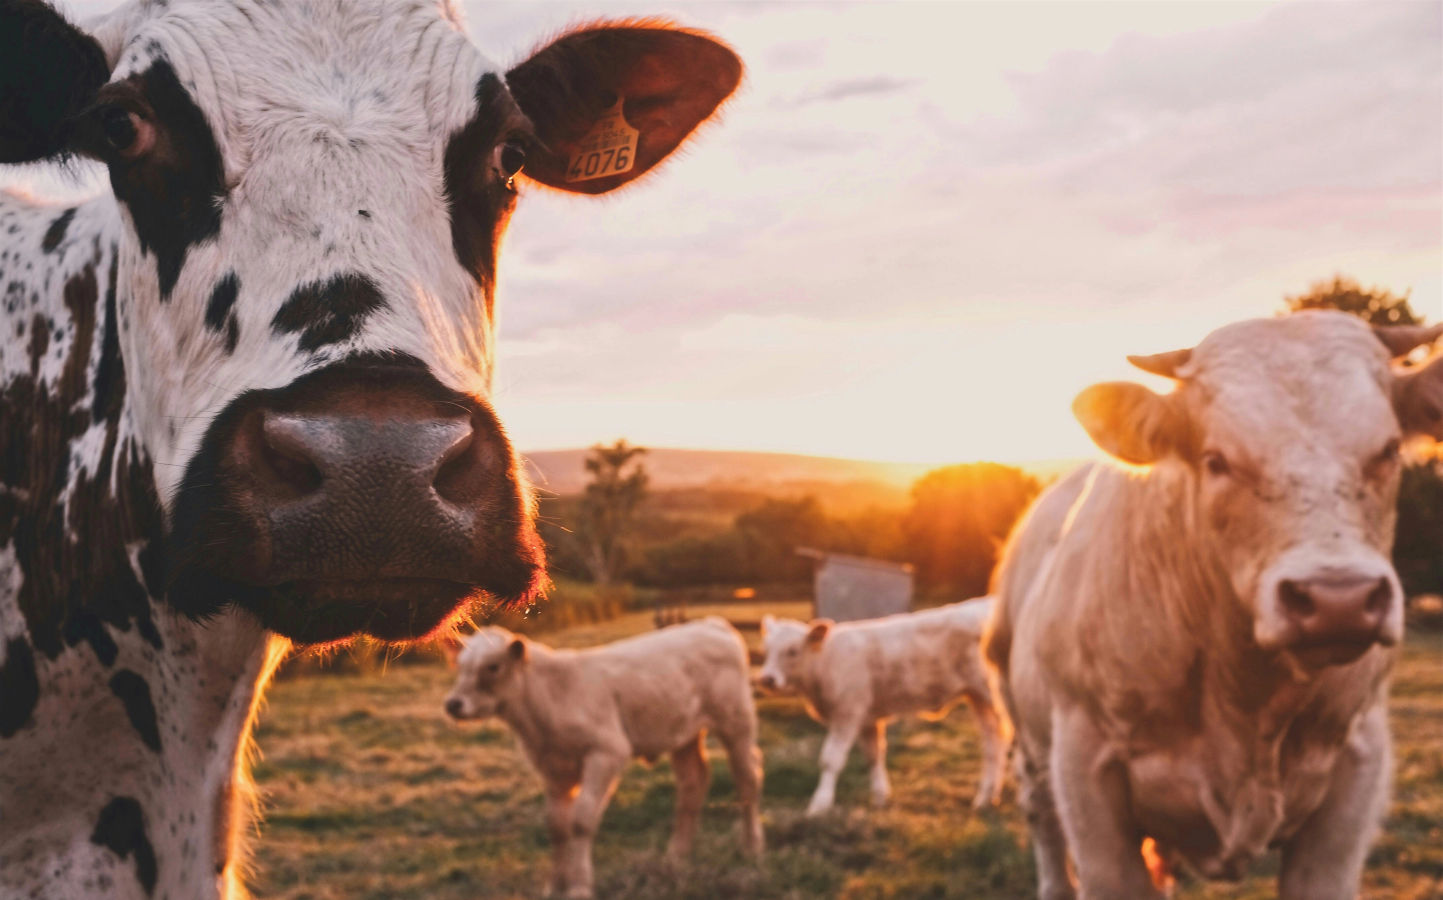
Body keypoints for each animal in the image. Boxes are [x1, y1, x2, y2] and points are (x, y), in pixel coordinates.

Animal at [443, 618, 765, 899]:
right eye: (460, 665)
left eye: (493, 666)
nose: (453, 704)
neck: (548, 700)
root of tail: (711, 623)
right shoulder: (552, 768)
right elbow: (556, 825)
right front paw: (555, 884)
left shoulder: (607, 752)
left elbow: (581, 820)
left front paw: (579, 886)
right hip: (683, 734)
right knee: (692, 784)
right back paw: (677, 855)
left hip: (736, 722)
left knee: (747, 778)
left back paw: (751, 847)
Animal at [757, 597, 1007, 815]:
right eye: (766, 650)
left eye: (792, 651)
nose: (767, 679)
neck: (825, 663)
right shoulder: (868, 718)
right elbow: (874, 755)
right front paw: (879, 797)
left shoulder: (847, 713)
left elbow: (830, 760)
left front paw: (820, 804)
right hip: (978, 697)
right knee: (993, 742)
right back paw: (987, 797)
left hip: (992, 694)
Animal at [984, 311, 1443, 900]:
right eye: (1216, 459)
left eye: (1387, 449)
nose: (1337, 599)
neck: (1247, 700)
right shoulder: (1086, 774)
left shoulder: (1356, 768)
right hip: (1026, 739)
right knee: (1044, 826)